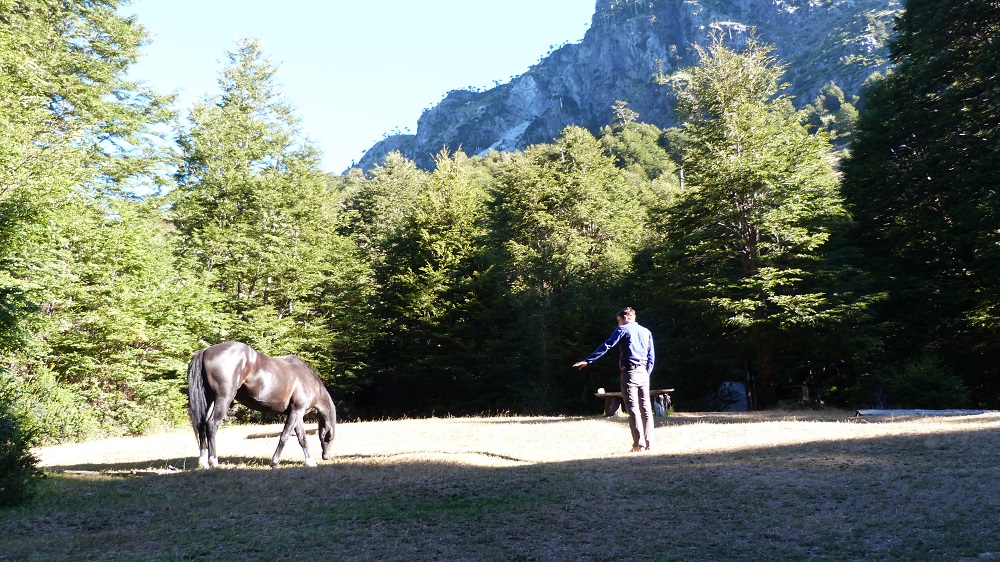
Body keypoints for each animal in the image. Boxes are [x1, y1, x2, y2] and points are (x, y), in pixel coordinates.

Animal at [188, 340, 340, 466]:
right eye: (329, 437)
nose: (326, 456)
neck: (308, 381)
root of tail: (205, 350)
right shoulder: (296, 412)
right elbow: (284, 436)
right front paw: (274, 462)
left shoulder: (297, 413)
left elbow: (302, 438)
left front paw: (310, 462)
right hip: (223, 399)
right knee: (211, 424)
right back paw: (213, 460)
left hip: (209, 400)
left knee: (201, 425)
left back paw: (203, 462)